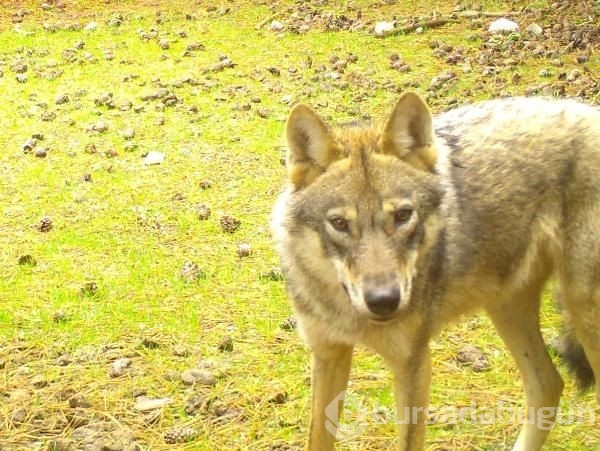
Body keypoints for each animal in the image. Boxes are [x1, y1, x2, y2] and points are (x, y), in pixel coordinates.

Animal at [270, 91, 600, 448]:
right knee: (548, 384)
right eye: (340, 223)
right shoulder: (328, 352)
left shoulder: (413, 364)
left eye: (403, 216)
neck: (348, 314)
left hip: (583, 318)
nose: (384, 301)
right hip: (506, 307)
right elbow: (317, 438)